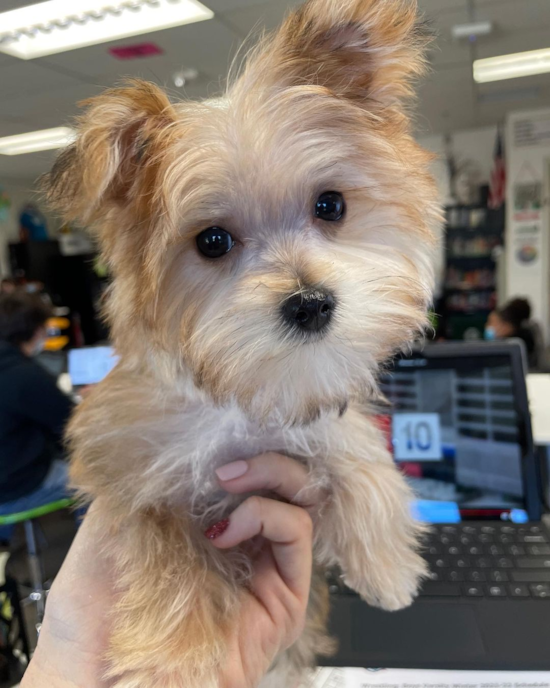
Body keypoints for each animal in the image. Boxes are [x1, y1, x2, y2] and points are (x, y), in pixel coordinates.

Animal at [43, 0, 442, 684]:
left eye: (330, 205)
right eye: (212, 241)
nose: (310, 304)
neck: (236, 404)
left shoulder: (310, 420)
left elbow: (356, 448)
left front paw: (387, 565)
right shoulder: (127, 471)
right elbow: (169, 549)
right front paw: (172, 662)